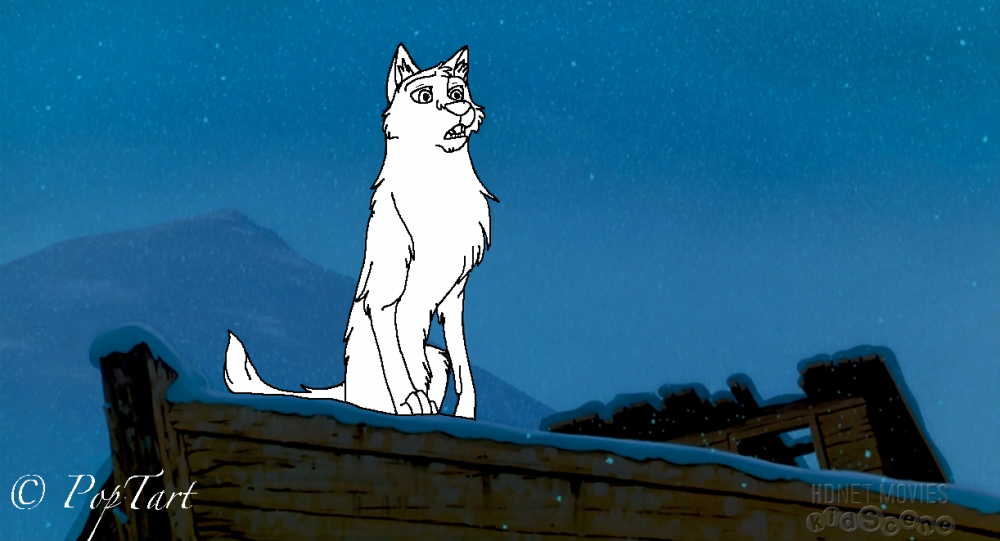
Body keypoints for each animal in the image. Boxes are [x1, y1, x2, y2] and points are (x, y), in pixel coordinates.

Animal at [225, 44, 495, 419]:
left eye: (457, 93)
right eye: (425, 96)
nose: (460, 108)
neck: (437, 188)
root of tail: (345, 389)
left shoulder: (454, 296)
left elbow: (463, 364)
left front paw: (466, 412)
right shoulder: (384, 295)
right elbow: (397, 364)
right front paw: (410, 400)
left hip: (435, 357)